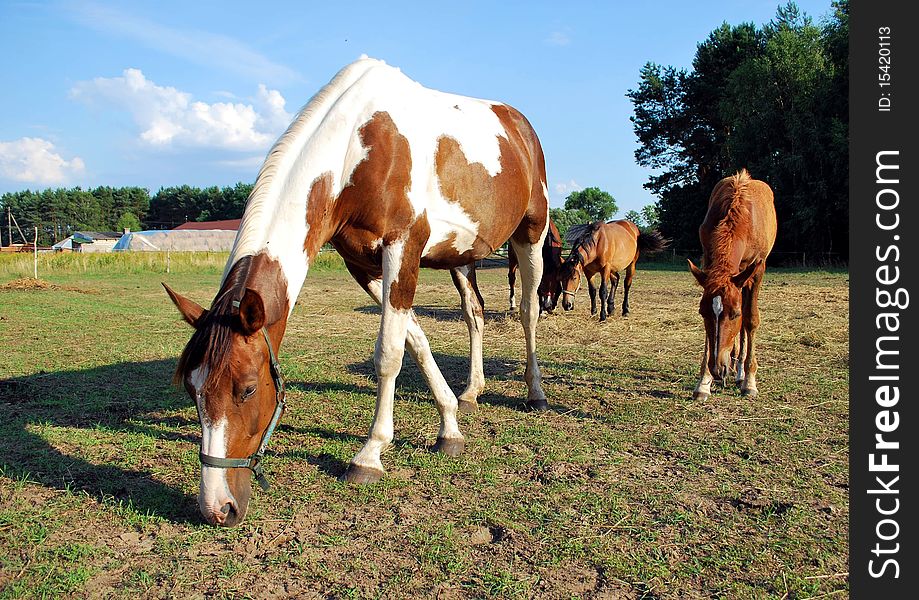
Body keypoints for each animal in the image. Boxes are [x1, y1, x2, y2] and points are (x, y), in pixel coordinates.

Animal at [162, 56, 548, 524]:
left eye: (248, 388)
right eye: (192, 389)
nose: (218, 507)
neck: (358, 147)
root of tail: (519, 124)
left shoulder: (403, 248)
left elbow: (388, 354)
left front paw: (370, 455)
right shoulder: (364, 265)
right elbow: (415, 341)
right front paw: (450, 426)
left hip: (531, 234)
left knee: (528, 311)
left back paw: (535, 392)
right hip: (460, 256)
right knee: (474, 313)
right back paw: (472, 392)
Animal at [688, 169, 776, 400]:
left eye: (734, 314)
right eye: (702, 313)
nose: (717, 369)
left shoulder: (757, 270)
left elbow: (750, 319)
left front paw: (749, 381)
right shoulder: (709, 262)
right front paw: (704, 382)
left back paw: (740, 373)